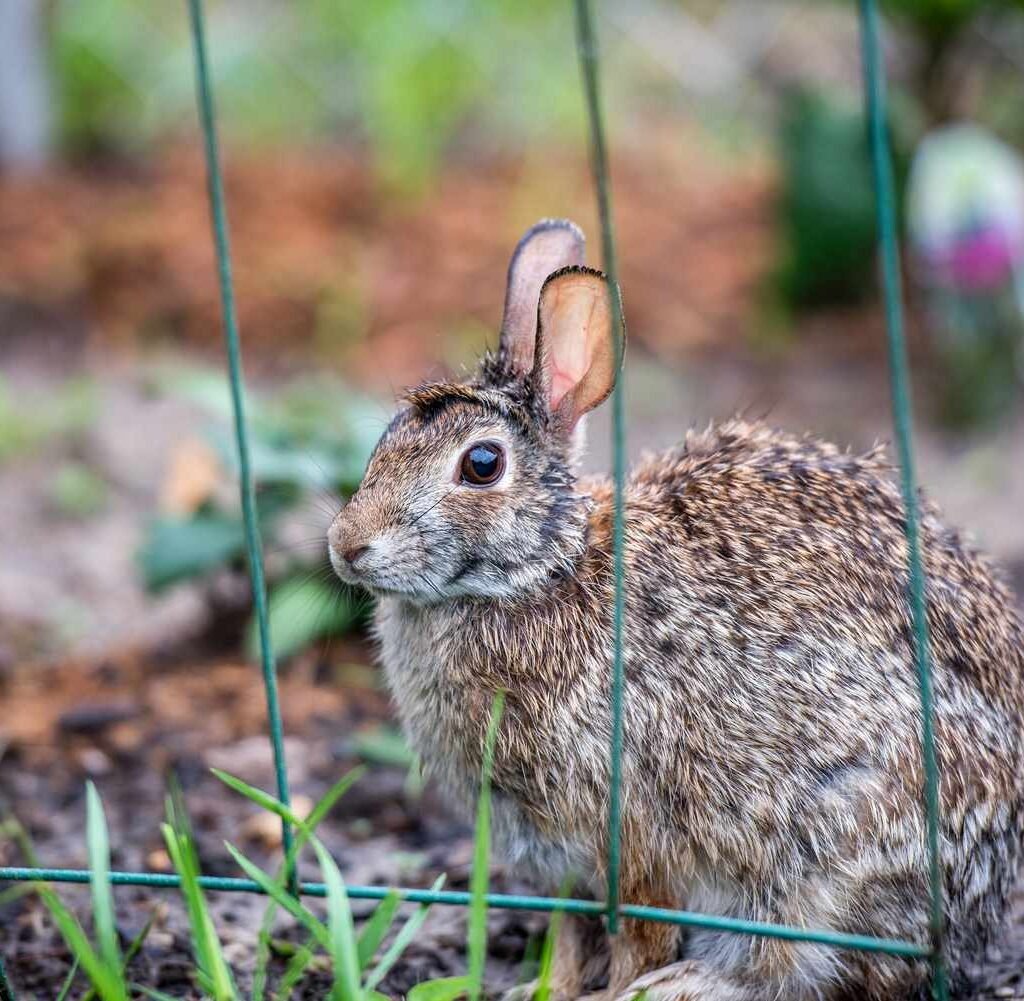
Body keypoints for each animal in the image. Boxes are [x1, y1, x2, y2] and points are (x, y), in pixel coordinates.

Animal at [328, 219, 1024, 1001]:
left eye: (481, 465)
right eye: (386, 438)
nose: (346, 545)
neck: (541, 570)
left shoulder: (631, 835)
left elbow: (638, 933)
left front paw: (616, 992)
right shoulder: (561, 862)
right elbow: (570, 933)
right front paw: (544, 990)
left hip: (835, 856)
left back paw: (684, 984)